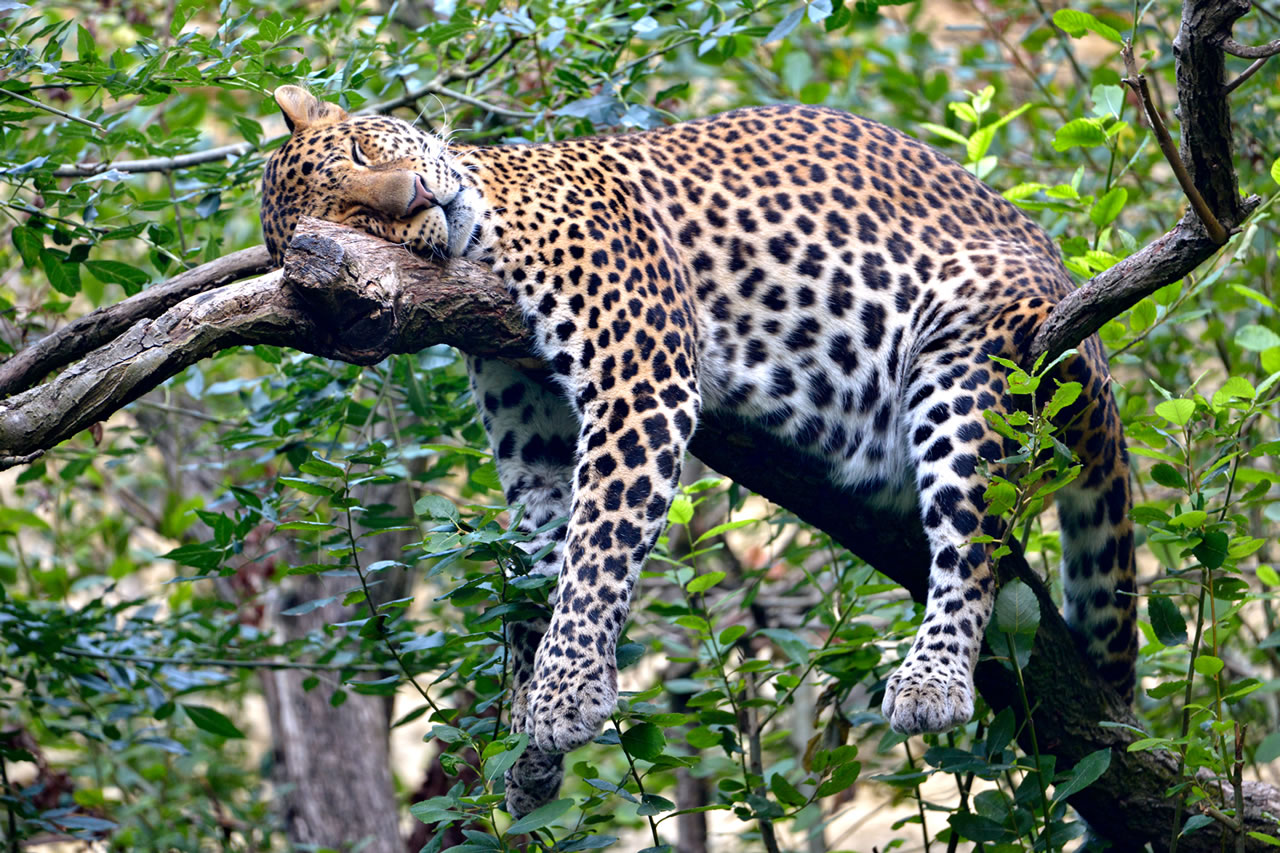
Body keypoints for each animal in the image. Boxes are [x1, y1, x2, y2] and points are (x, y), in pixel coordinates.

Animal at [259, 86, 1141, 819]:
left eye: (366, 151)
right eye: (355, 224)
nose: (418, 194)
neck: (486, 236)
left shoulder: (639, 380)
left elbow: (597, 548)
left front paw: (565, 697)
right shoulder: (538, 446)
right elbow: (540, 576)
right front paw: (532, 752)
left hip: (970, 359)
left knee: (975, 540)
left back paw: (933, 680)